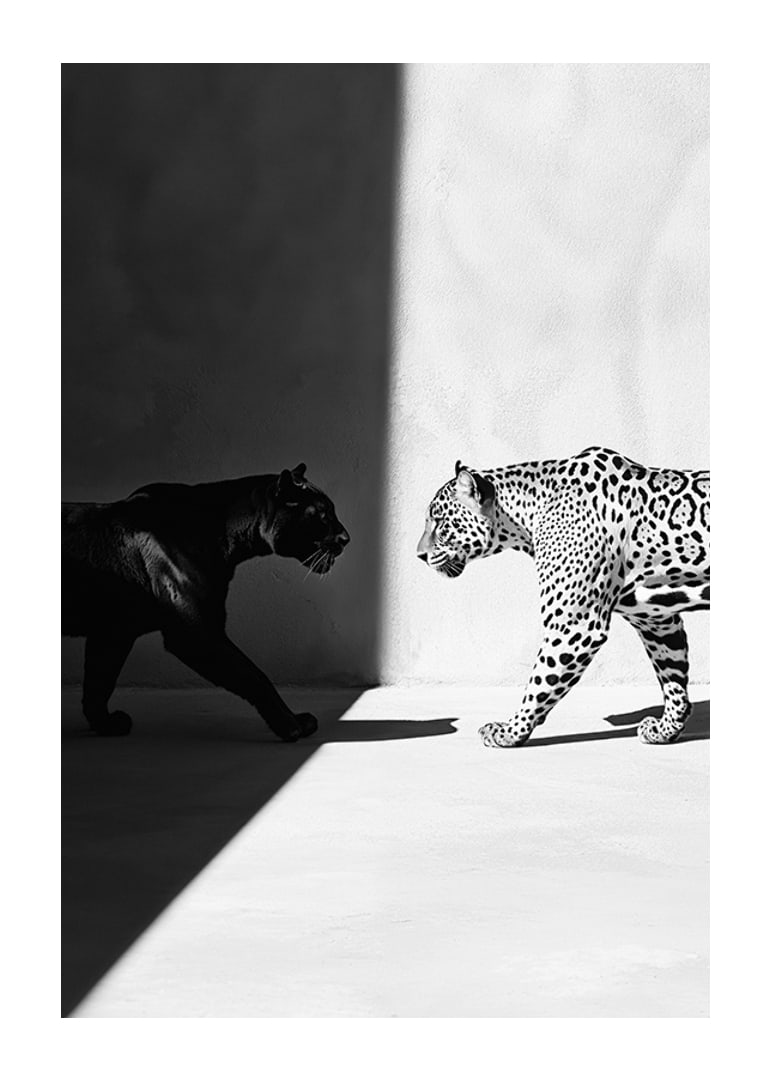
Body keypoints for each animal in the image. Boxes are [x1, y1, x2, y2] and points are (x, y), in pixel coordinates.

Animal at [417, 447, 709, 748]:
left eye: (439, 521)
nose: (420, 555)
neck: (526, 515)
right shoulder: (655, 619)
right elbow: (672, 677)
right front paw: (665, 730)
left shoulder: (574, 626)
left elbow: (539, 682)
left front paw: (511, 731)